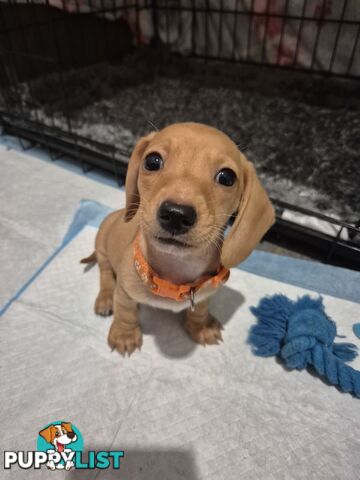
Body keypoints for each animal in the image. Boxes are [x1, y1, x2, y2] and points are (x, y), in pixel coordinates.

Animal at [81, 123, 272, 356]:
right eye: (152, 161)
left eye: (227, 177)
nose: (176, 214)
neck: (176, 270)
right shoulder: (125, 292)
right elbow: (126, 312)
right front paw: (124, 335)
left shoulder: (204, 296)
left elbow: (199, 311)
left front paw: (201, 327)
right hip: (102, 248)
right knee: (106, 275)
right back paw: (105, 299)